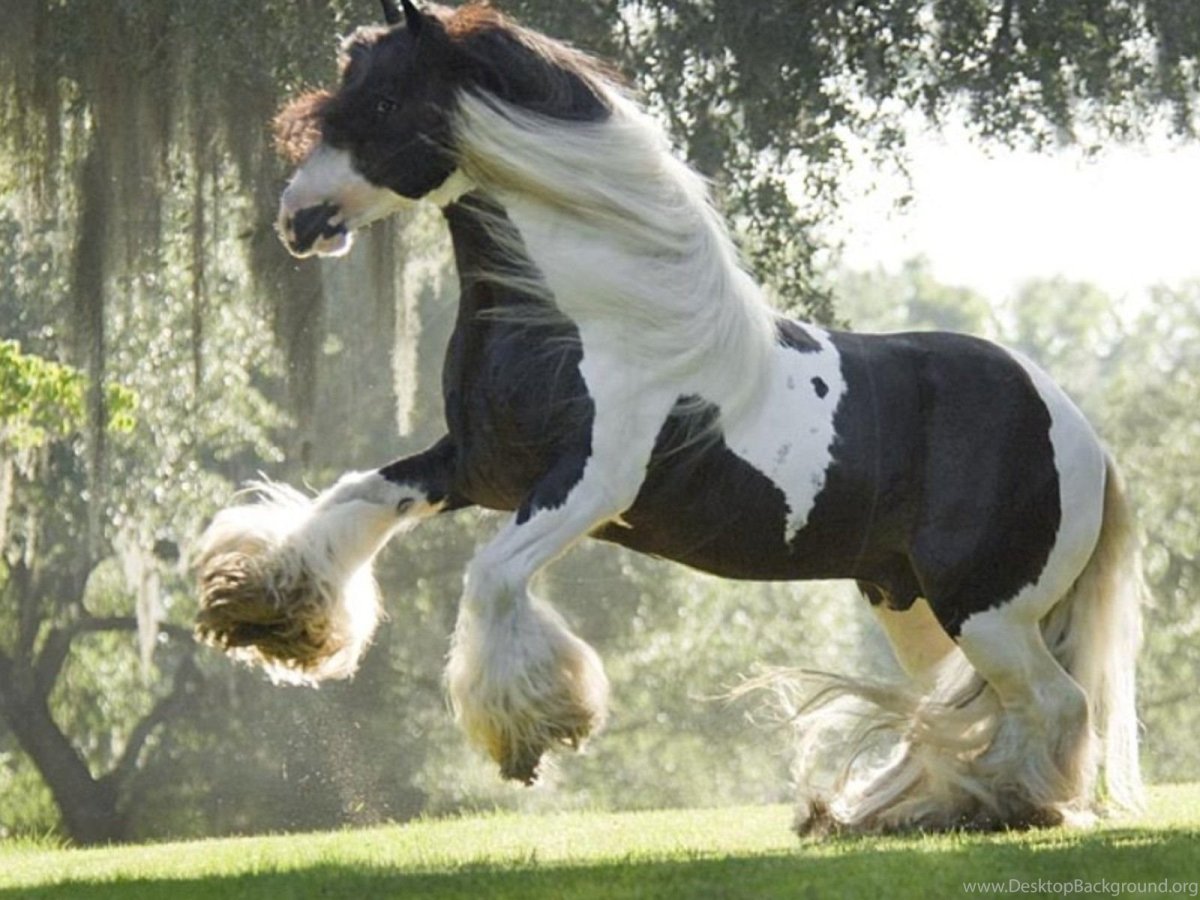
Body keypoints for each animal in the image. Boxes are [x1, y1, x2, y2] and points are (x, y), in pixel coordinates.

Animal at [195, 0, 1146, 833]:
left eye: (386, 102)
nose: (296, 220)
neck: (592, 311)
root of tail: (1086, 438)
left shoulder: (589, 484)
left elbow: (491, 574)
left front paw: (536, 732)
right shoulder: (472, 464)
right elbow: (354, 498)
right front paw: (263, 610)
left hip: (986, 610)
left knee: (1058, 703)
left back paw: (1010, 805)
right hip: (916, 608)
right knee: (985, 707)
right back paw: (930, 809)